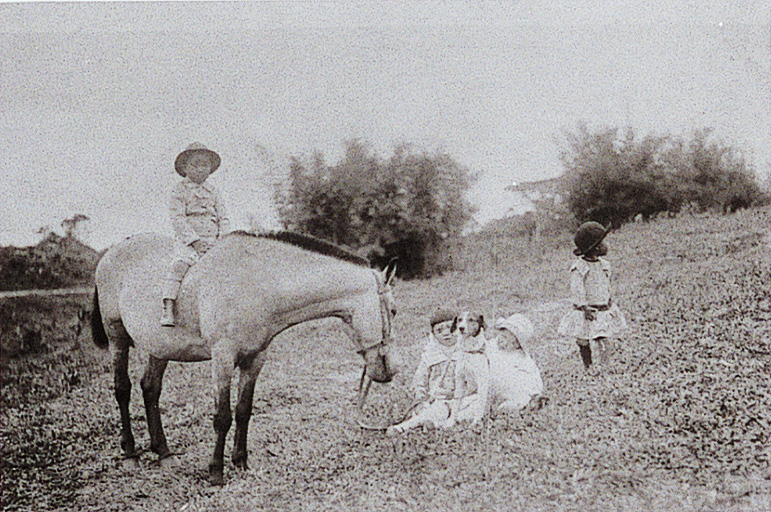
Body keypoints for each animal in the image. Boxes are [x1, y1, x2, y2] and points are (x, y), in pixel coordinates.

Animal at [90, 231, 398, 484]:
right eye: (393, 310)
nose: (391, 369)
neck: (255, 283)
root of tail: (112, 251)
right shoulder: (223, 358)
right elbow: (222, 416)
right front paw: (216, 471)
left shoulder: (255, 359)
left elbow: (243, 410)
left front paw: (240, 461)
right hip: (117, 337)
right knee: (122, 390)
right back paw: (130, 453)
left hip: (160, 347)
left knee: (150, 389)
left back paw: (164, 452)